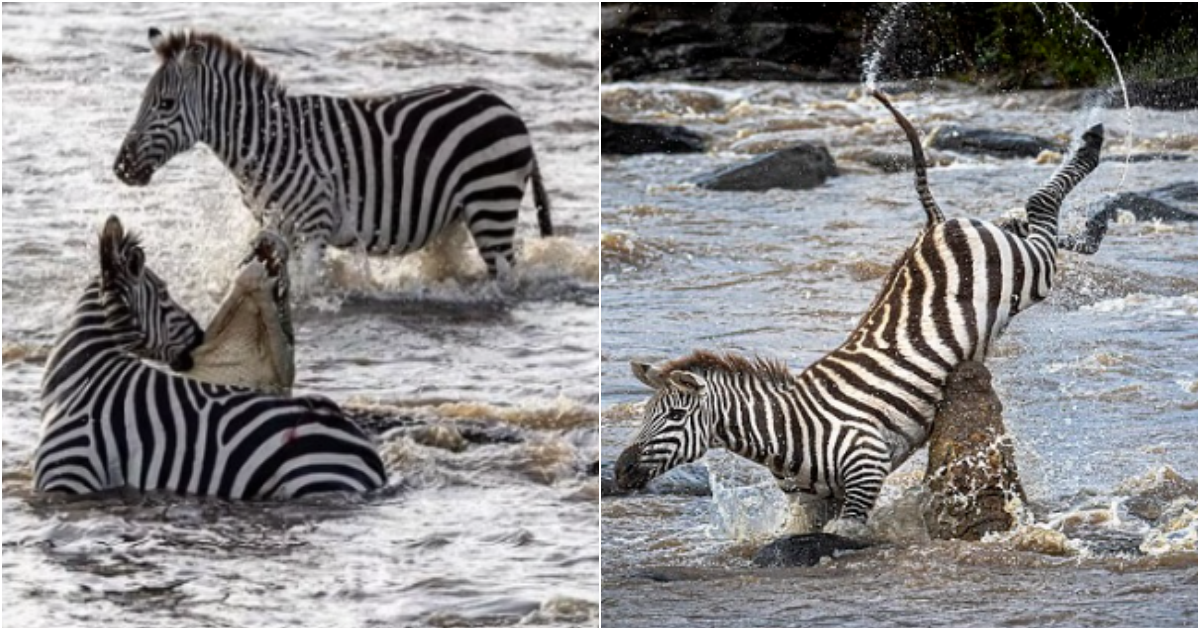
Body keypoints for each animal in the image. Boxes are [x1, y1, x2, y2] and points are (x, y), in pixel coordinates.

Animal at [34, 213, 384, 499]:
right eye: (164, 294)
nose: (199, 338)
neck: (84, 377)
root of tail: (370, 457)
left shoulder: (71, 473)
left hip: (306, 477)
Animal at [114, 27, 554, 274]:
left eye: (165, 104)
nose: (121, 168)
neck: (267, 142)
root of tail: (509, 109)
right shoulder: (274, 226)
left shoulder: (313, 225)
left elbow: (307, 287)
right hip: (457, 216)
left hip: (491, 203)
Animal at [619, 90, 1104, 537]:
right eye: (643, 415)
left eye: (674, 417)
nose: (620, 470)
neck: (787, 430)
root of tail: (934, 226)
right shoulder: (814, 502)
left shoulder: (865, 470)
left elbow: (845, 535)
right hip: (1010, 254)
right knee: (1019, 217)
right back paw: (1097, 218)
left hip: (1028, 273)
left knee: (1039, 210)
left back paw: (1092, 146)